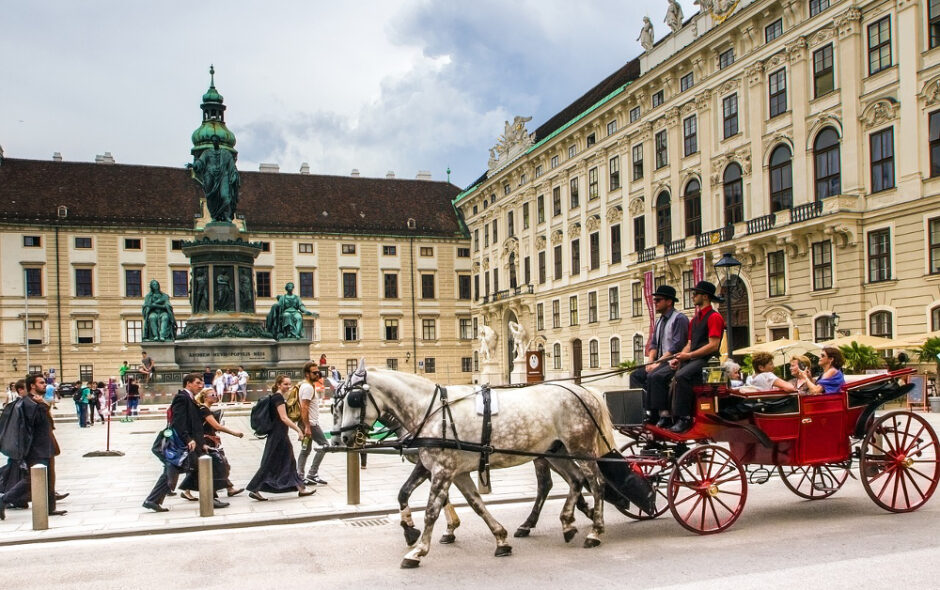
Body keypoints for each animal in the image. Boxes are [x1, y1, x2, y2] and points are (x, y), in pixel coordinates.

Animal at [340, 368, 616, 572]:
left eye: (353, 400)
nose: (343, 437)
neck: (432, 411)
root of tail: (583, 390)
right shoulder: (453, 471)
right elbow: (475, 504)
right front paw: (500, 538)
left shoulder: (442, 469)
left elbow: (431, 511)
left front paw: (418, 551)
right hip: (555, 452)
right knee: (574, 480)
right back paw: (566, 523)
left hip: (579, 448)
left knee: (596, 483)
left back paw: (595, 530)